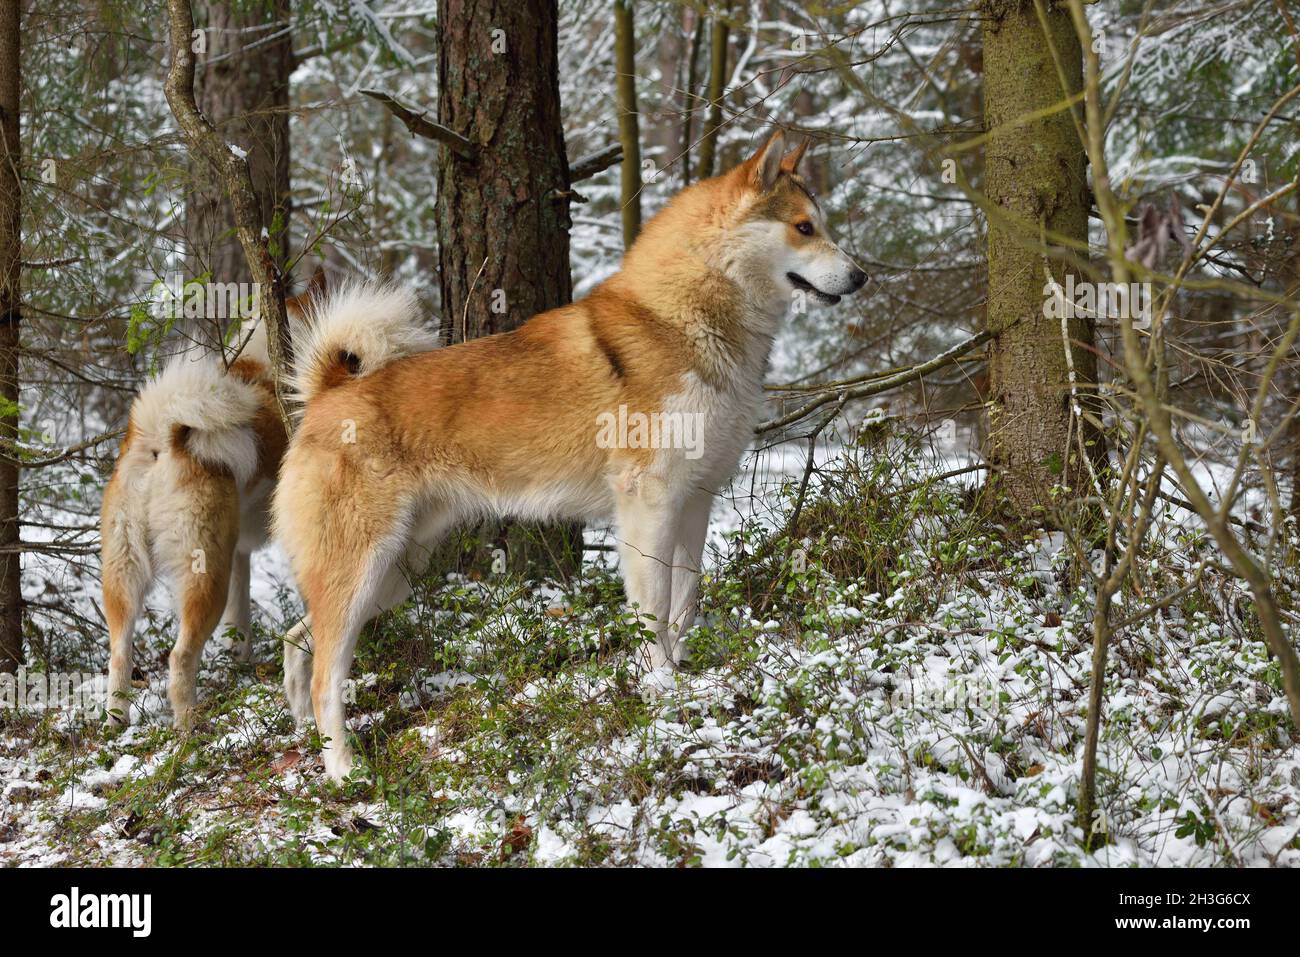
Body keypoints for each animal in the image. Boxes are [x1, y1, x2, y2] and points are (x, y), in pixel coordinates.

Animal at [101, 280, 319, 728]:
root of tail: (164, 436)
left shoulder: (237, 552)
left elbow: (241, 616)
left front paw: (241, 659)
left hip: (126, 574)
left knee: (119, 653)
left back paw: (116, 724)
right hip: (203, 578)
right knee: (180, 656)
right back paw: (188, 723)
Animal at [271, 132, 863, 780]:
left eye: (821, 226)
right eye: (804, 228)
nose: (861, 277)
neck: (680, 320)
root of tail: (328, 394)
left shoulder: (695, 503)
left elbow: (684, 601)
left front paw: (683, 672)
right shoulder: (648, 508)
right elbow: (655, 607)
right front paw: (661, 685)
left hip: (393, 574)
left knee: (298, 642)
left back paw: (303, 734)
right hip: (364, 569)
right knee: (326, 674)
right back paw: (342, 768)